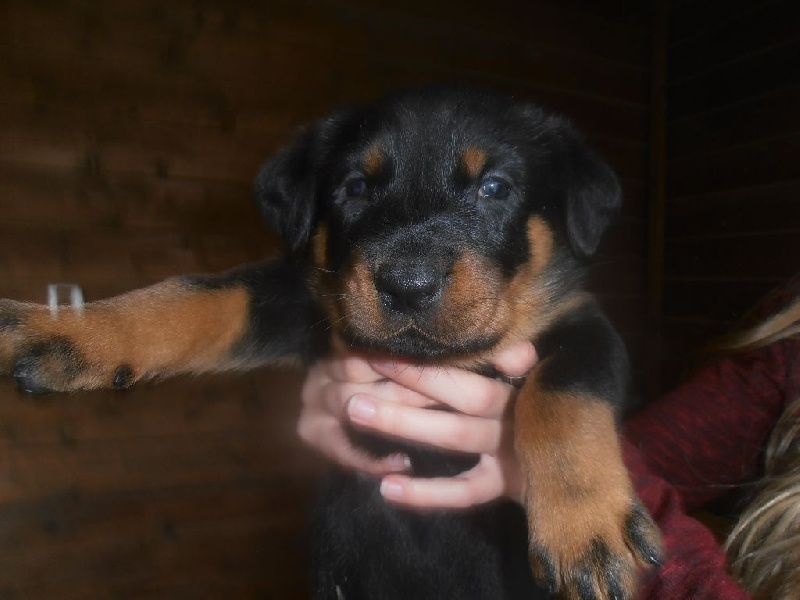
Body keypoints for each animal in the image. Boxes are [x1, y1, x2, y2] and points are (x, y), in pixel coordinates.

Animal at [0, 88, 661, 599]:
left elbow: (562, 392)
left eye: (495, 187)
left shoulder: (584, 323)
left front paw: (584, 527)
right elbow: (199, 295)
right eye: (355, 188)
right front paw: (68, 329)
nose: (407, 283)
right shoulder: (304, 300)